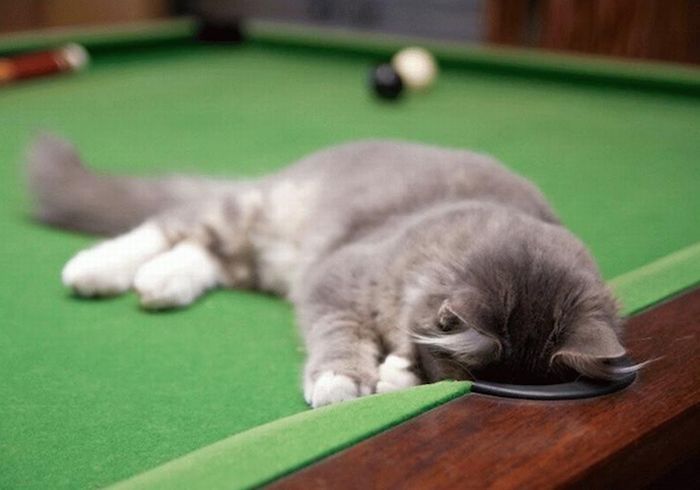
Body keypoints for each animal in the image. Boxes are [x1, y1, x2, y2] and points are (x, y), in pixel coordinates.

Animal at [26, 136, 636, 408]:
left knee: (207, 257)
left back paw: (160, 284)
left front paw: (397, 374)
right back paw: (95, 269)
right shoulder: (336, 279)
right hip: (252, 212)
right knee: (169, 225)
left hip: (259, 253)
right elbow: (339, 333)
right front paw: (342, 381)